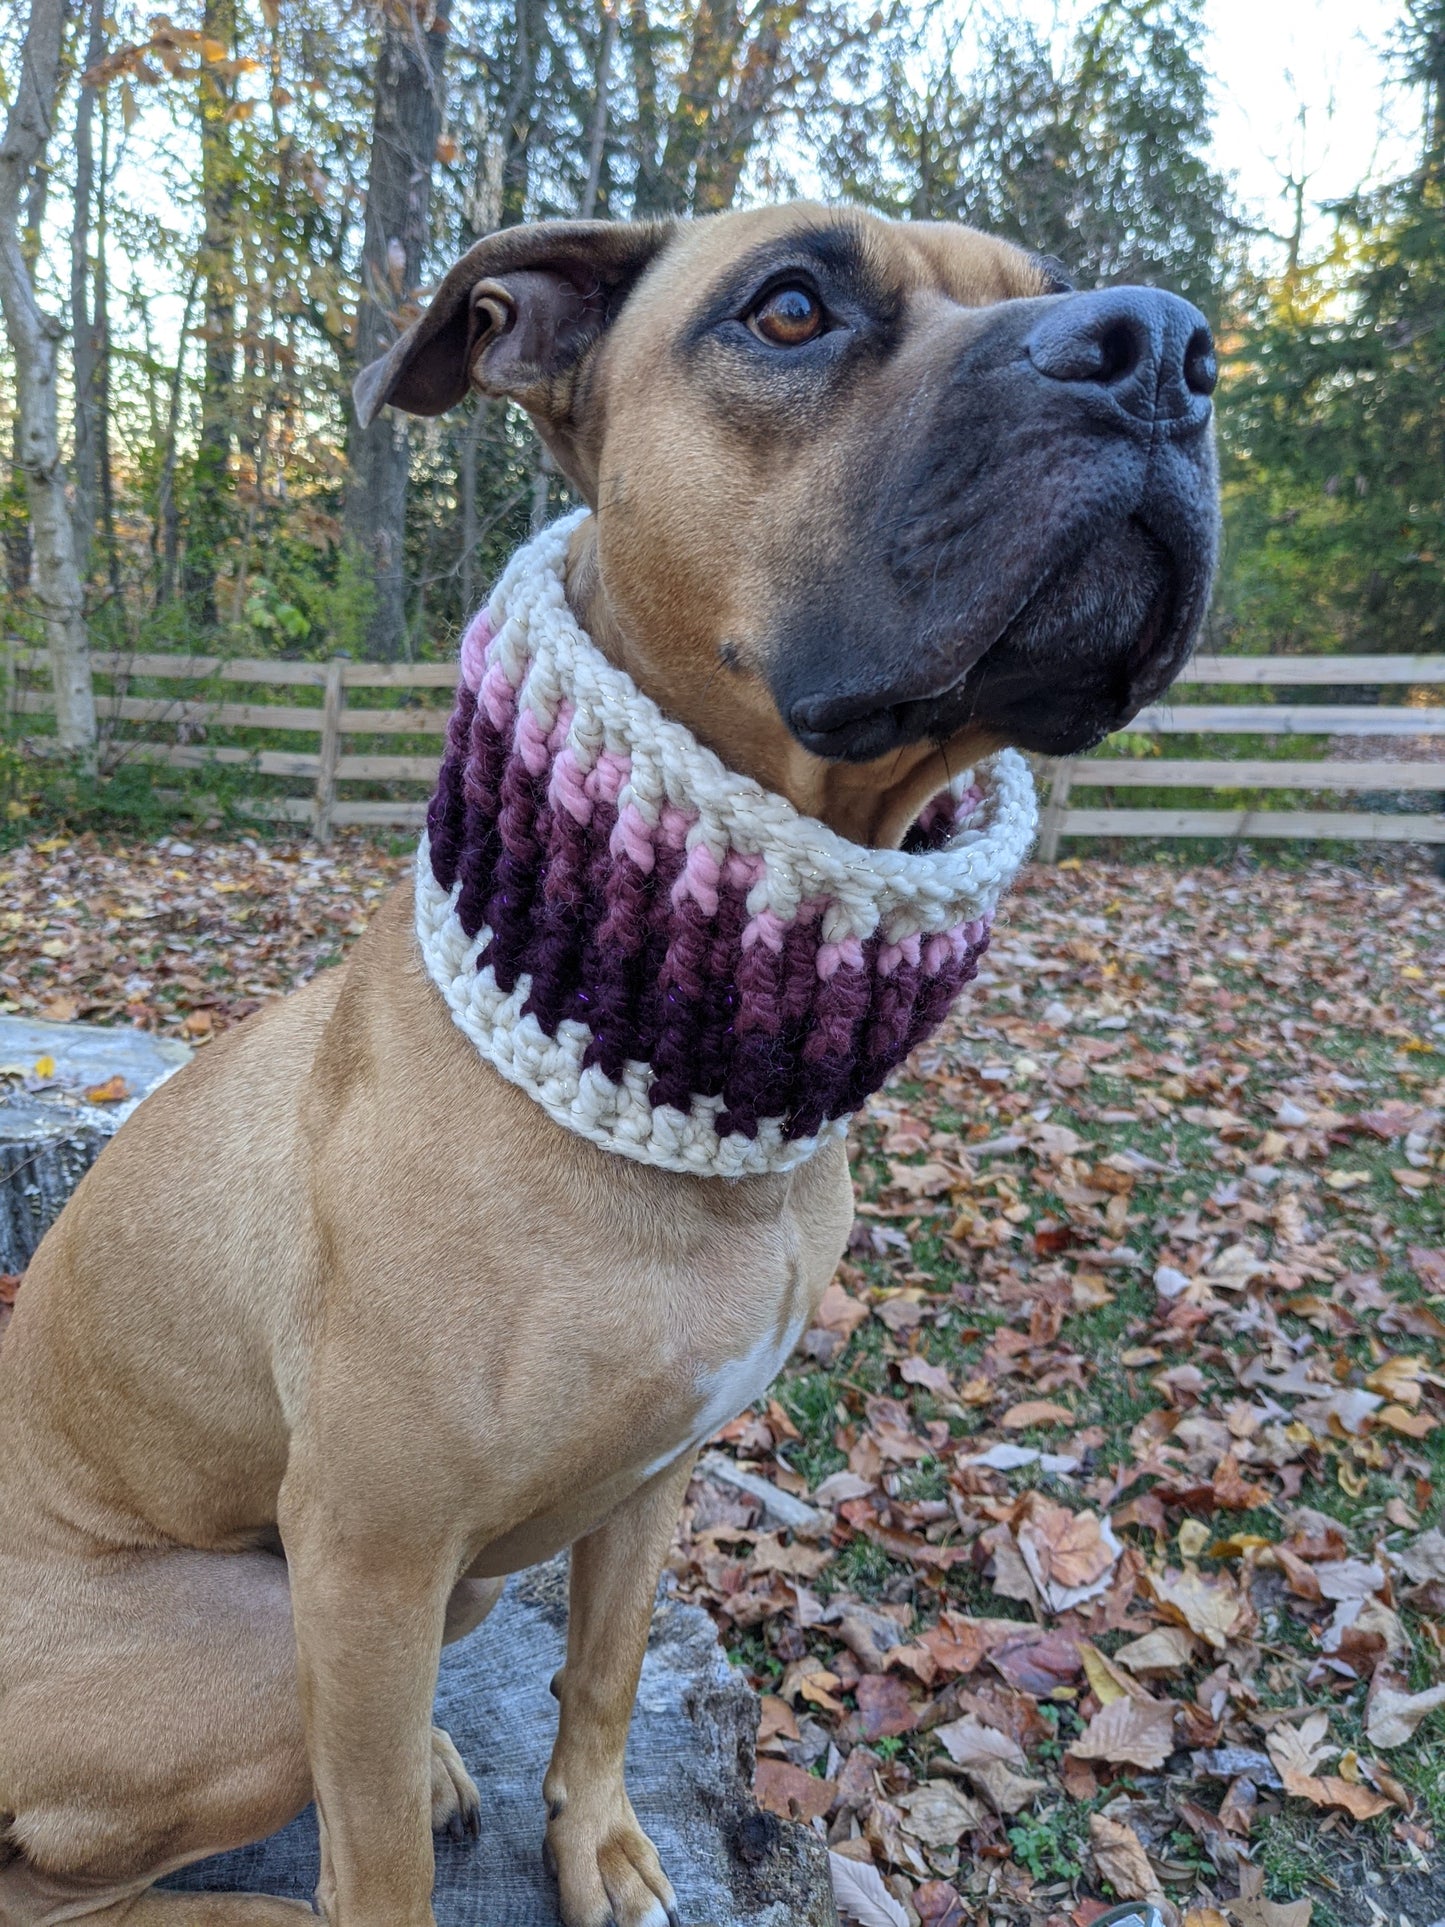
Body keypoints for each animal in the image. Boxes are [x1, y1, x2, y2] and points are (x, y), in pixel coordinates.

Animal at [0, 203, 1225, 1919]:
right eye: (789, 308)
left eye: (1045, 284)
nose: (1164, 348)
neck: (660, 1089)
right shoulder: (365, 1555)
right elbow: (376, 1859)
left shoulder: (656, 1471)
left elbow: (605, 1668)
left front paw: (601, 1845)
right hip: (253, 1631)